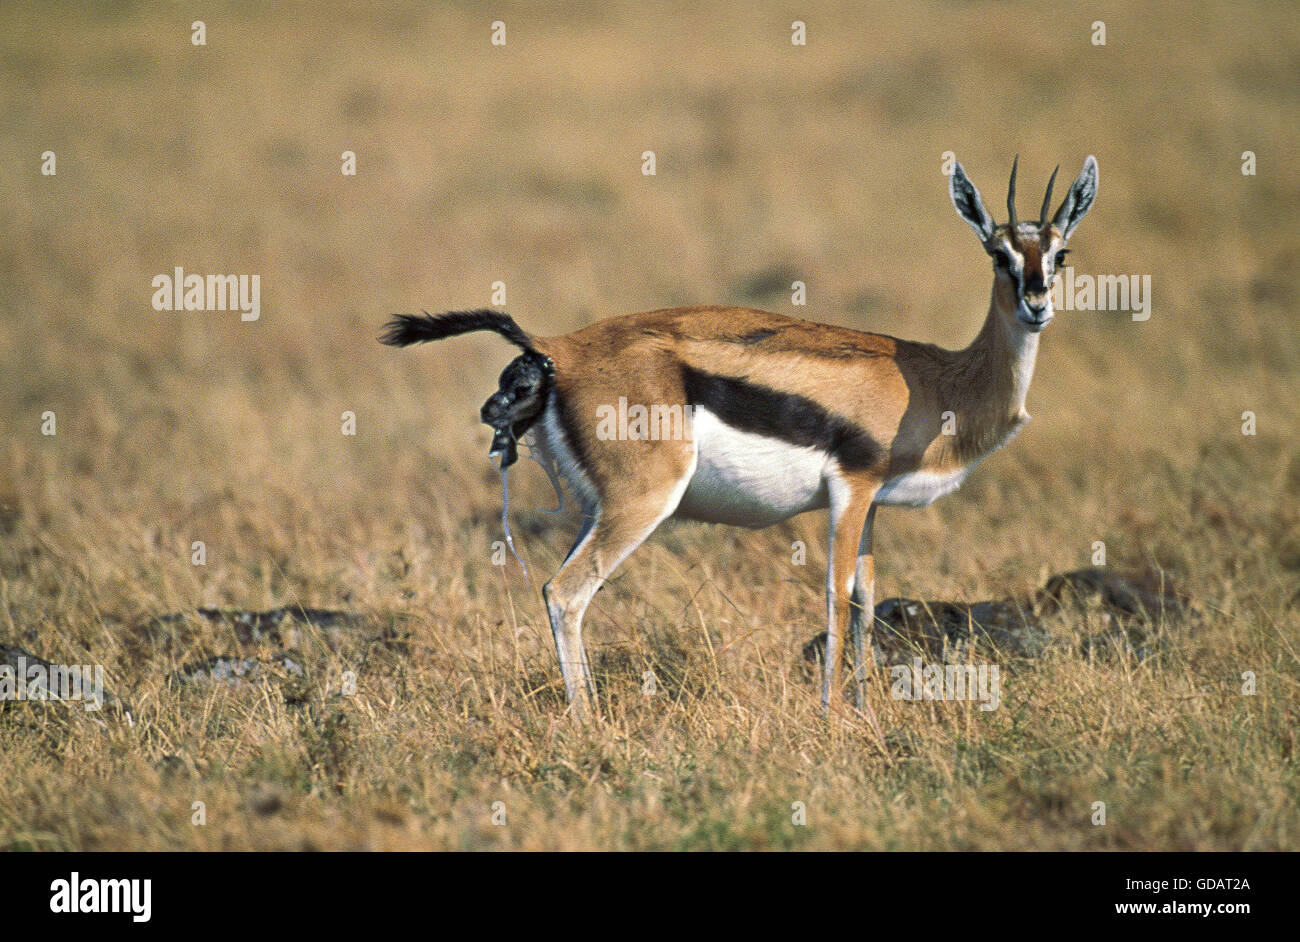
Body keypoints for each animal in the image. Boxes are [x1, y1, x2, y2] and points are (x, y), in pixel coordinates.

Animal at [381, 155, 1098, 732]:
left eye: (1059, 254)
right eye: (999, 255)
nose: (1037, 303)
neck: (933, 379)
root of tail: (558, 348)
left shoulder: (869, 505)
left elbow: (866, 603)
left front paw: (865, 713)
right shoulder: (851, 489)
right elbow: (835, 598)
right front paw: (830, 718)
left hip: (599, 508)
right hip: (643, 503)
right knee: (565, 593)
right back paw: (587, 724)